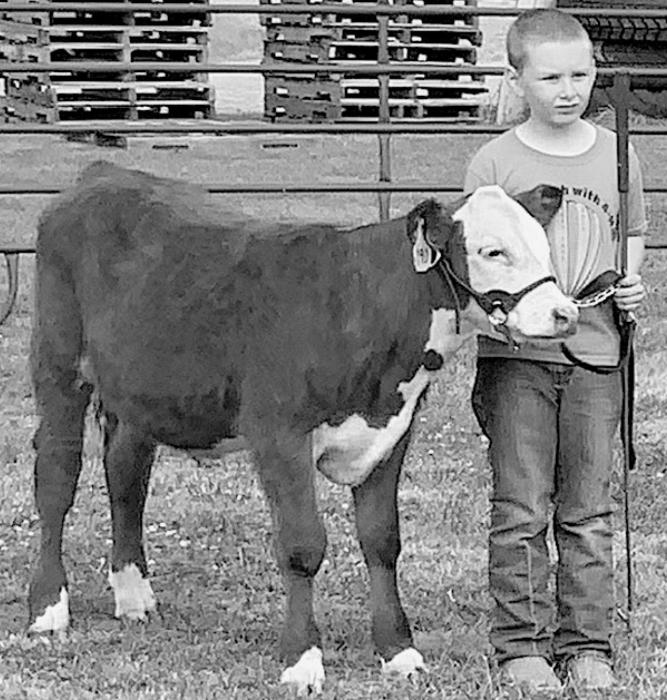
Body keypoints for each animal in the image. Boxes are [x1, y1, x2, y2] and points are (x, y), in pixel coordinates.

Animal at [28, 161, 577, 695]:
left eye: (543, 244)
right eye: (492, 250)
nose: (565, 313)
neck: (357, 307)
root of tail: (102, 175)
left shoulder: (392, 433)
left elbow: (383, 541)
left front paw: (399, 652)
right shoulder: (280, 435)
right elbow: (302, 546)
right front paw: (302, 660)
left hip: (138, 392)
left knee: (126, 475)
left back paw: (133, 594)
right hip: (58, 365)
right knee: (56, 480)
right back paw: (48, 607)